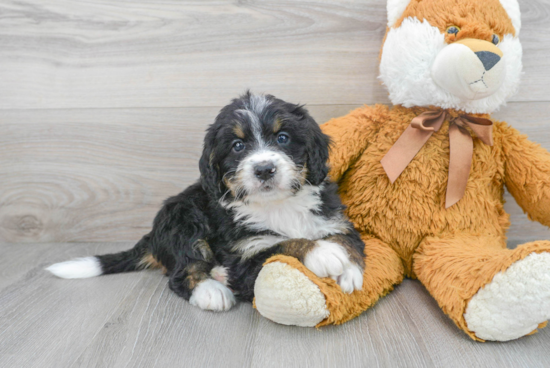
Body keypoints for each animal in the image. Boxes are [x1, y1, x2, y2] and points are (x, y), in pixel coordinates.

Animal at [47, 92, 366, 310]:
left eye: (283, 138)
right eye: (237, 146)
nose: (264, 169)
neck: (278, 205)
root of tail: (152, 235)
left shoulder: (333, 219)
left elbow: (349, 239)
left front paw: (350, 273)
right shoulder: (244, 252)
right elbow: (281, 244)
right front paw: (322, 253)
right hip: (184, 219)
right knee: (182, 270)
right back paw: (212, 289)